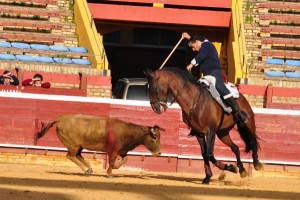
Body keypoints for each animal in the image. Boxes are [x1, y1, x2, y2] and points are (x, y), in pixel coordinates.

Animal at [34, 114, 164, 177]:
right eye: (154, 137)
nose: (159, 153)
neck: (128, 132)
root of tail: (61, 118)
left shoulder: (122, 151)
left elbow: (125, 159)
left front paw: (114, 168)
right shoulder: (113, 152)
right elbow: (111, 162)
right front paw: (109, 174)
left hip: (79, 145)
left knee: (78, 155)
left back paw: (89, 169)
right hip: (73, 145)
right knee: (71, 156)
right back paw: (85, 170)